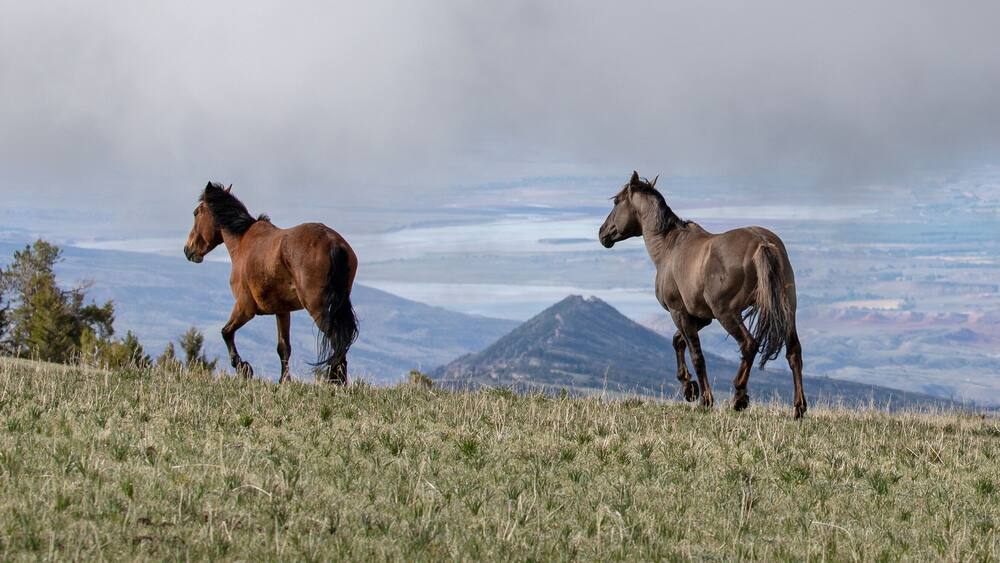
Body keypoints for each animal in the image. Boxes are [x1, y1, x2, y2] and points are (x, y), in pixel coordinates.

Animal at [183, 182, 359, 384]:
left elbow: (226, 332)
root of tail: (333, 243)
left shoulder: (245, 307)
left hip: (318, 309)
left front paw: (244, 368)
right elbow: (283, 347)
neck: (242, 242)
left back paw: (335, 381)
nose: (188, 250)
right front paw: (284, 380)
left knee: (337, 340)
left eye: (196, 213)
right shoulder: (282, 311)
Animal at [599, 171, 806, 418]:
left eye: (616, 201)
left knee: (749, 344)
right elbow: (678, 342)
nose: (602, 233)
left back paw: (739, 397)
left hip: (728, 313)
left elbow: (696, 355)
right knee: (793, 352)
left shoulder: (679, 312)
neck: (669, 248)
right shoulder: (701, 317)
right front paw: (689, 388)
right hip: (786, 310)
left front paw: (704, 399)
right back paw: (798, 408)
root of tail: (762, 243)